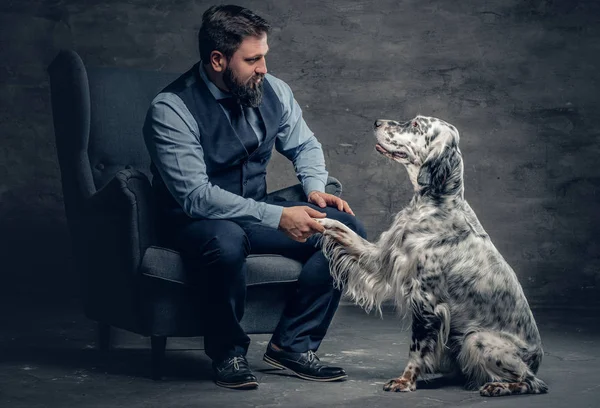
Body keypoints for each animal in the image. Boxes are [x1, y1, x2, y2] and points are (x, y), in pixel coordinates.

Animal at [318, 116, 548, 396]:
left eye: (416, 125)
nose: (377, 122)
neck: (435, 203)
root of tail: (537, 359)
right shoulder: (383, 258)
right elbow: (345, 232)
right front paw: (317, 218)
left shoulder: (425, 299)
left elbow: (417, 348)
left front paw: (405, 381)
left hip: (476, 338)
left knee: (533, 382)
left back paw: (498, 386)